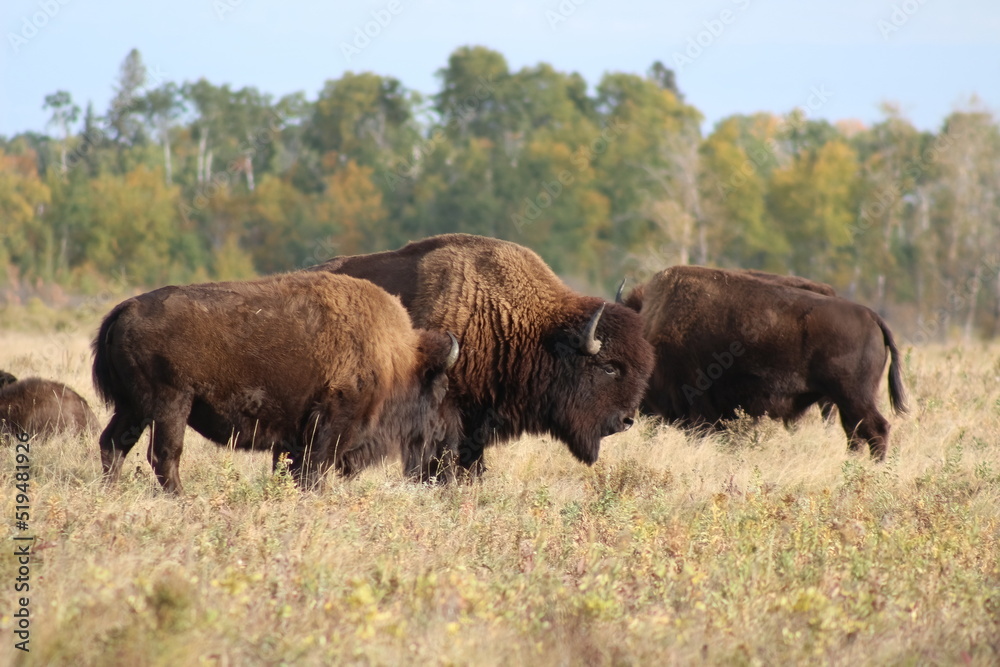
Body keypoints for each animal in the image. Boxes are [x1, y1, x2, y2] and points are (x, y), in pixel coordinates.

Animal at [92, 268, 458, 494]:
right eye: (440, 387)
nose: (443, 436)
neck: (395, 357)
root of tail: (126, 308)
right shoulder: (331, 423)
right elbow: (315, 469)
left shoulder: (295, 435)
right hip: (170, 404)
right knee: (164, 454)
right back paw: (184, 498)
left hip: (133, 408)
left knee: (114, 444)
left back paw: (111, 492)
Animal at [624, 266, 908, 460]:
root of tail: (872, 317)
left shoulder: (697, 406)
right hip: (845, 401)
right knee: (855, 434)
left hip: (854, 397)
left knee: (876, 429)